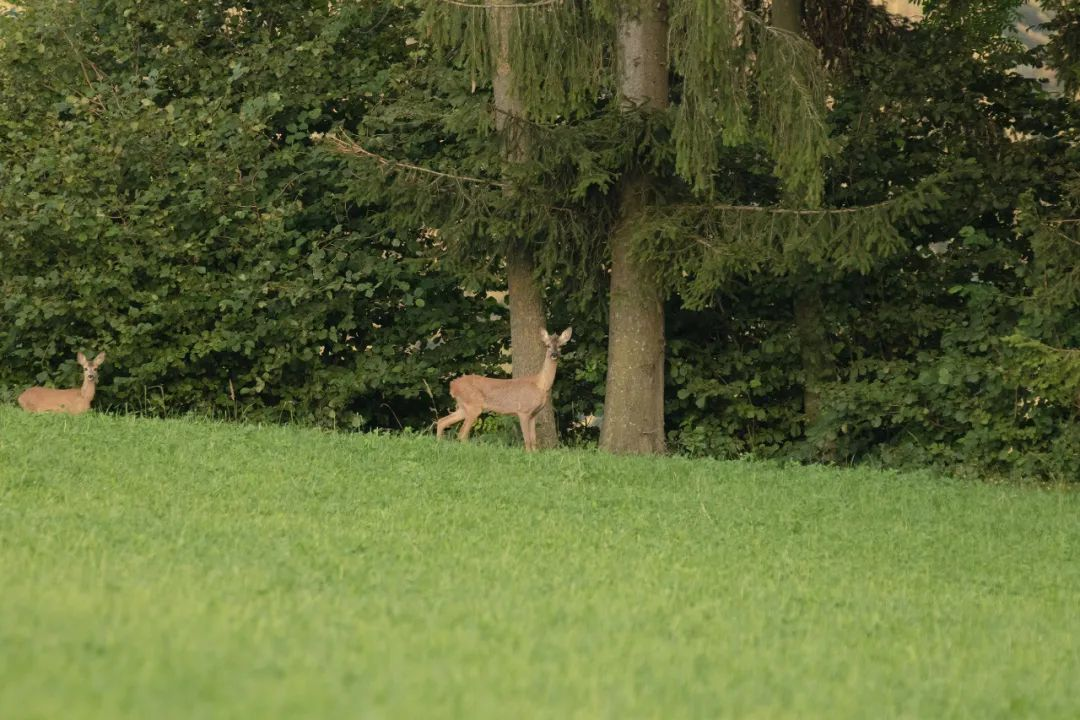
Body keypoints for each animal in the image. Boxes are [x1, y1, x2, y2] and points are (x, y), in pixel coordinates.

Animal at [438, 328, 574, 451]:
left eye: (561, 346)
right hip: (473, 406)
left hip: (463, 407)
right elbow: (527, 440)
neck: (540, 385)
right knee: (461, 433)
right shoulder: (523, 410)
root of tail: (453, 385)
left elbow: (534, 439)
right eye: (547, 345)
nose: (554, 355)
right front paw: (528, 456)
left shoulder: (533, 414)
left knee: (442, 421)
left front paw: (535, 455)